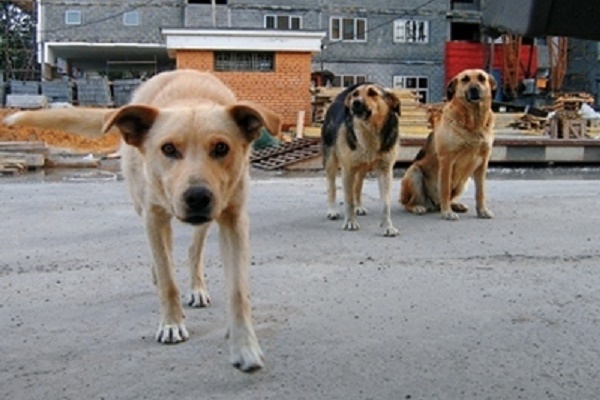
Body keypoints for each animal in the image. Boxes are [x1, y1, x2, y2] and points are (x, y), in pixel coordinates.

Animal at [4, 69, 282, 372]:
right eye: (168, 149)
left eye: (221, 148)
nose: (197, 197)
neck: (190, 100)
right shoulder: (153, 215)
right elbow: (168, 278)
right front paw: (171, 323)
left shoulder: (233, 218)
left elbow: (238, 291)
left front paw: (245, 347)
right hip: (145, 208)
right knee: (164, 255)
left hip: (211, 214)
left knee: (192, 249)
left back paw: (196, 287)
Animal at [322, 82, 400, 236]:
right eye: (355, 94)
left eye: (373, 93)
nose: (355, 103)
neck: (369, 132)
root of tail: (339, 99)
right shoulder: (347, 170)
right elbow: (348, 200)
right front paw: (350, 222)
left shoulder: (385, 170)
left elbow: (385, 204)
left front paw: (388, 226)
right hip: (331, 161)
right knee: (331, 186)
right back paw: (332, 210)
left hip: (362, 168)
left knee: (357, 186)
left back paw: (359, 206)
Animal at [398, 68, 496, 219]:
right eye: (465, 79)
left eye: (481, 78)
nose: (474, 89)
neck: (473, 124)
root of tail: (432, 204)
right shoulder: (447, 161)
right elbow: (445, 189)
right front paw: (447, 213)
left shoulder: (482, 163)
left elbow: (481, 192)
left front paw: (482, 210)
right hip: (414, 172)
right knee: (408, 203)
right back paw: (418, 207)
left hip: (464, 182)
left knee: (450, 198)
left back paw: (455, 205)